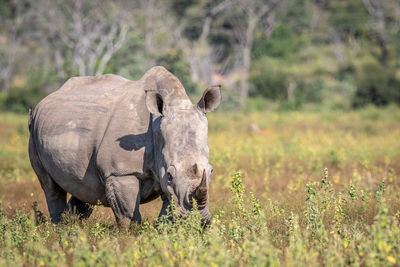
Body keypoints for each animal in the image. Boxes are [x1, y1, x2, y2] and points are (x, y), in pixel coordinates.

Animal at [28, 67, 220, 228]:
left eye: (211, 171)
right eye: (170, 175)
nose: (199, 220)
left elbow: (167, 215)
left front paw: (162, 233)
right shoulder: (120, 173)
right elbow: (128, 216)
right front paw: (129, 238)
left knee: (83, 188)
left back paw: (71, 226)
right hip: (34, 130)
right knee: (50, 187)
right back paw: (58, 228)